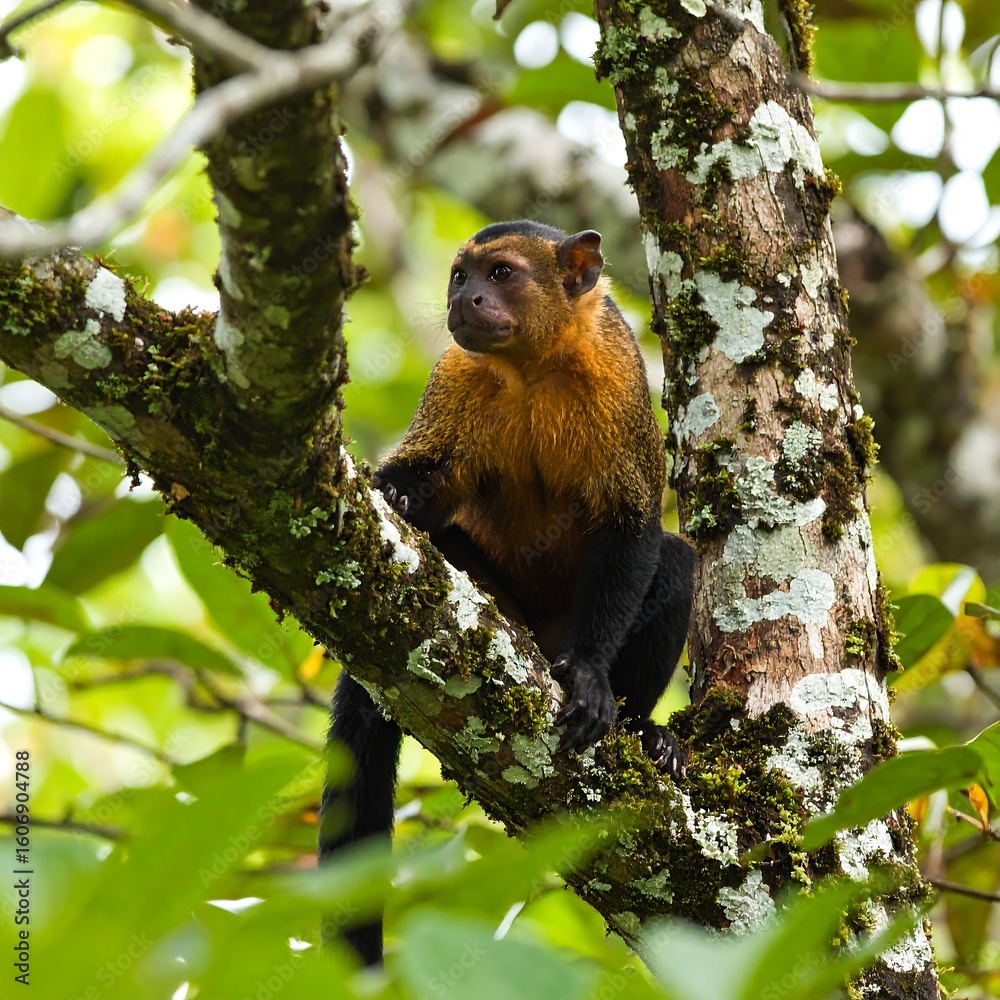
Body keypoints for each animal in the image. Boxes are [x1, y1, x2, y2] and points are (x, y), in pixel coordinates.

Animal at [320, 220, 696, 966]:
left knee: (677, 561)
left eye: (501, 273)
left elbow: (634, 529)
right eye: (460, 276)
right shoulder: (454, 377)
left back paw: (644, 732)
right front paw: (397, 495)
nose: (464, 299)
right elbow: (423, 488)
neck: (534, 370)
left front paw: (591, 678)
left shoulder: (620, 377)